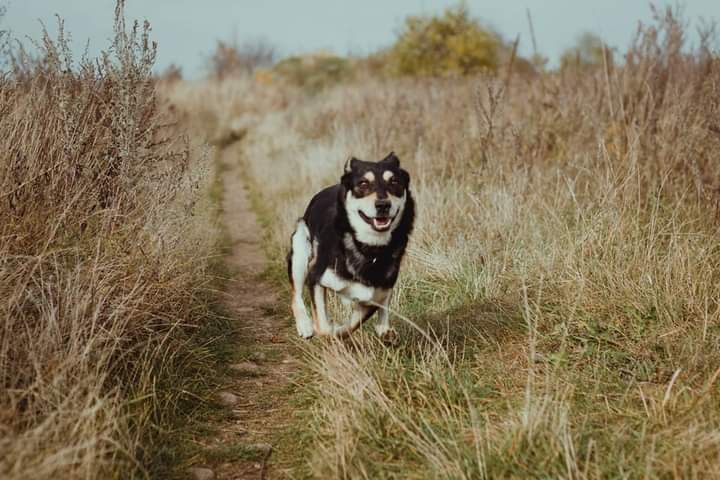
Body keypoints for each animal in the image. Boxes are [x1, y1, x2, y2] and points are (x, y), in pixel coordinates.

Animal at [284, 151, 414, 342]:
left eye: (394, 182)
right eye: (363, 183)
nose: (383, 205)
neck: (369, 248)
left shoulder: (377, 293)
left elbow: (356, 320)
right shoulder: (315, 276)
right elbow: (324, 327)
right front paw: (328, 330)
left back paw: (385, 330)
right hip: (300, 251)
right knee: (296, 296)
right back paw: (305, 326)